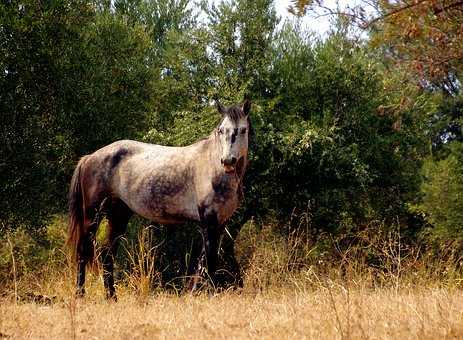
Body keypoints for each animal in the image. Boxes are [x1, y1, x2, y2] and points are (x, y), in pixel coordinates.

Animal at [67, 99, 252, 298]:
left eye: (242, 130)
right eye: (221, 130)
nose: (227, 161)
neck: (212, 167)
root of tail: (89, 157)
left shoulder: (219, 223)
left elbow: (205, 262)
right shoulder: (208, 222)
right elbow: (209, 262)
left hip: (118, 216)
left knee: (108, 255)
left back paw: (112, 297)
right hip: (91, 216)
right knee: (83, 251)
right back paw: (80, 295)